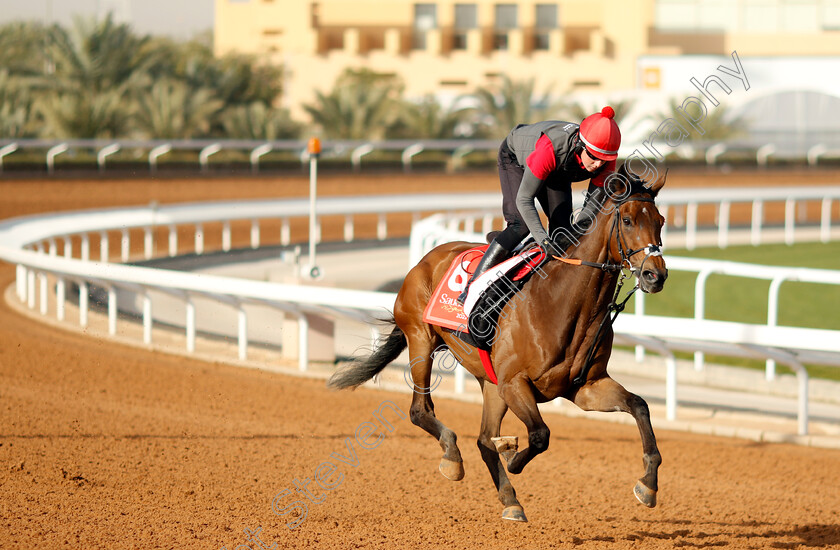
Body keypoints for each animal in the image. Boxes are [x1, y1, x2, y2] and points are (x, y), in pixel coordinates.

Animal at [328, 167, 668, 520]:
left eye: (660, 220)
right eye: (627, 220)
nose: (655, 276)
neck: (562, 301)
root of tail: (427, 259)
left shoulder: (585, 387)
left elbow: (639, 405)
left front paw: (648, 484)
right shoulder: (515, 382)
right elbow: (540, 435)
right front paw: (513, 456)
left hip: (490, 381)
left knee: (481, 439)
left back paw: (510, 499)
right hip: (422, 341)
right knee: (420, 410)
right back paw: (453, 458)